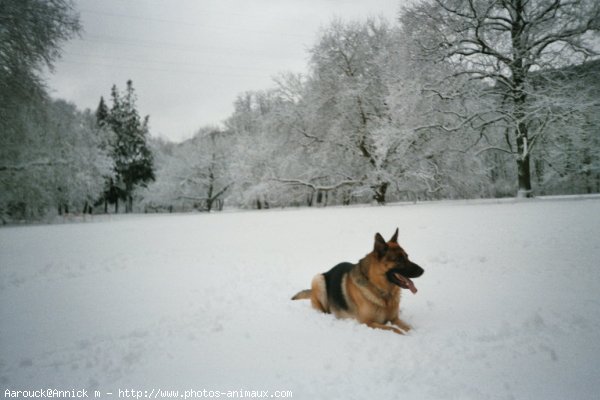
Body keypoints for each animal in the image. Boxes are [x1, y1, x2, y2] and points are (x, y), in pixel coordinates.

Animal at [290, 228, 422, 334]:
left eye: (407, 257)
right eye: (399, 260)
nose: (423, 270)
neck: (381, 290)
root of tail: (328, 271)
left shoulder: (394, 319)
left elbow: (409, 327)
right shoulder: (367, 322)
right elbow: (393, 329)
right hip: (318, 279)